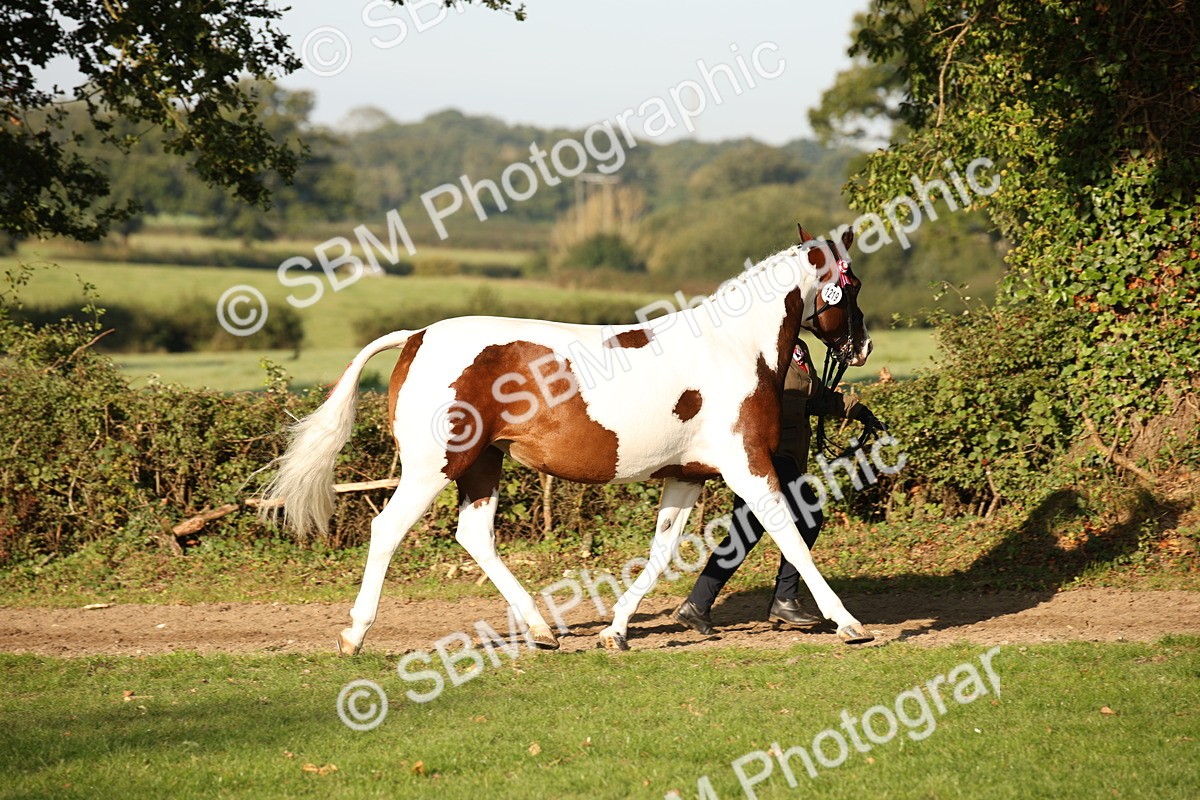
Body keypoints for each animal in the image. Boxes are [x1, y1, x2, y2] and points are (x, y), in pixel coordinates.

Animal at [262, 225, 873, 654]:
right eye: (853, 286)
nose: (863, 346)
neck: (732, 347)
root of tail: (416, 336)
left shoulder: (686, 477)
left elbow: (661, 552)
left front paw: (616, 630)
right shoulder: (747, 465)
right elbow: (788, 534)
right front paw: (848, 623)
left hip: (482, 465)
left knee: (475, 536)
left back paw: (541, 629)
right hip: (434, 467)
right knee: (387, 529)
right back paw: (355, 635)